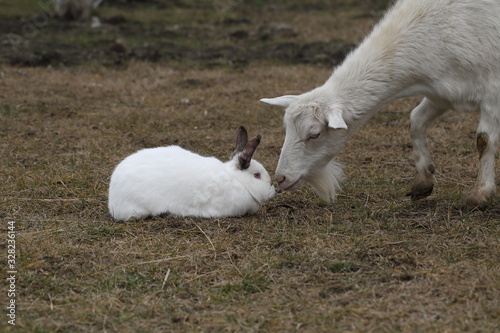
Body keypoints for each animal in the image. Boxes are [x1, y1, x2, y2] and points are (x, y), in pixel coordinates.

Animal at [260, 0, 500, 206]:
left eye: (314, 134)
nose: (280, 178)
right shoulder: (442, 95)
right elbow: (416, 122)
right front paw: (423, 182)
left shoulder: (492, 93)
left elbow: (484, 140)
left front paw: (479, 195)